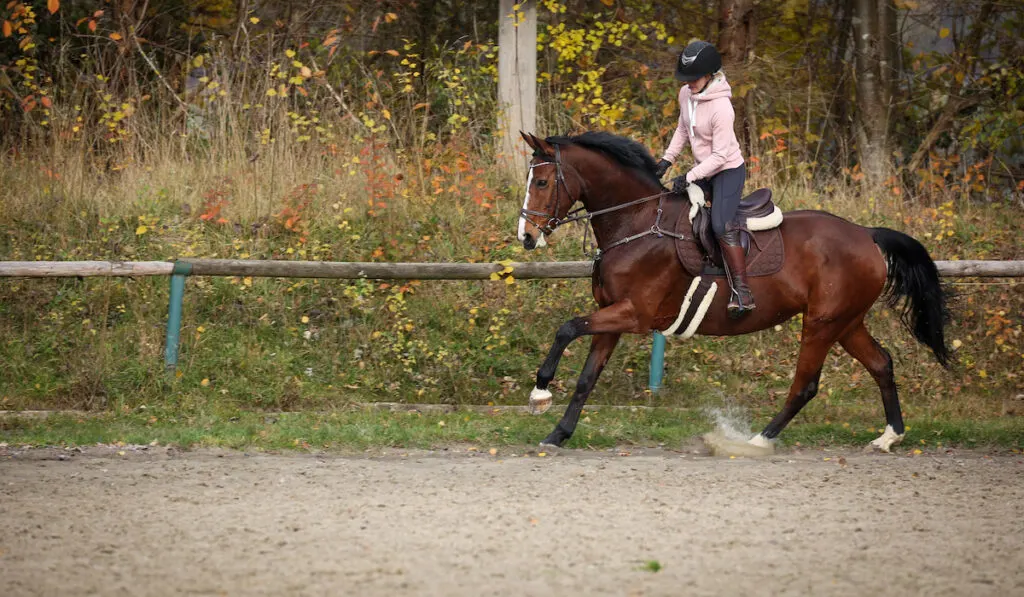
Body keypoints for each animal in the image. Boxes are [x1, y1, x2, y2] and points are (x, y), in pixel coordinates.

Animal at [516, 131, 946, 452]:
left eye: (542, 182)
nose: (526, 237)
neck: (637, 222)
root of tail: (866, 233)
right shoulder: (611, 315)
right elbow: (587, 376)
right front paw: (558, 433)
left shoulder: (633, 313)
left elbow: (567, 328)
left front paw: (539, 393)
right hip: (847, 322)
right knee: (881, 363)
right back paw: (889, 436)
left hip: (823, 323)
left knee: (806, 384)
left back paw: (758, 440)